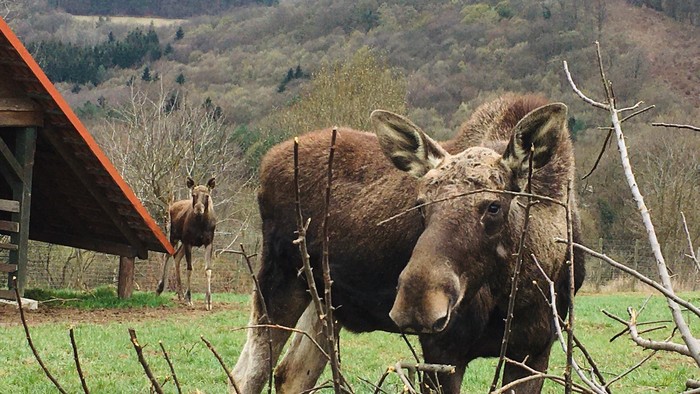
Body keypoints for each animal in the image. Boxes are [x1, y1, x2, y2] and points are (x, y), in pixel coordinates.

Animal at [156, 177, 216, 310]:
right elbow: (189, 269)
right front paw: (189, 299)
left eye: (207, 195)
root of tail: (172, 206)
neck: (201, 223)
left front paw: (208, 301)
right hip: (174, 236)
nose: (198, 209)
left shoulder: (209, 242)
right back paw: (160, 288)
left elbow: (208, 270)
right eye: (193, 195)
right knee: (168, 255)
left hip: (183, 242)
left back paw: (180, 294)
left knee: (177, 256)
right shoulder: (189, 242)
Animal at [234, 94, 584, 392]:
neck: (522, 285)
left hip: (323, 300)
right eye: (420, 203)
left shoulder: (534, 352)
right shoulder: (444, 349)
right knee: (247, 374)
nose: (418, 301)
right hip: (278, 280)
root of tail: (267, 163)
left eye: (494, 206)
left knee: (290, 374)